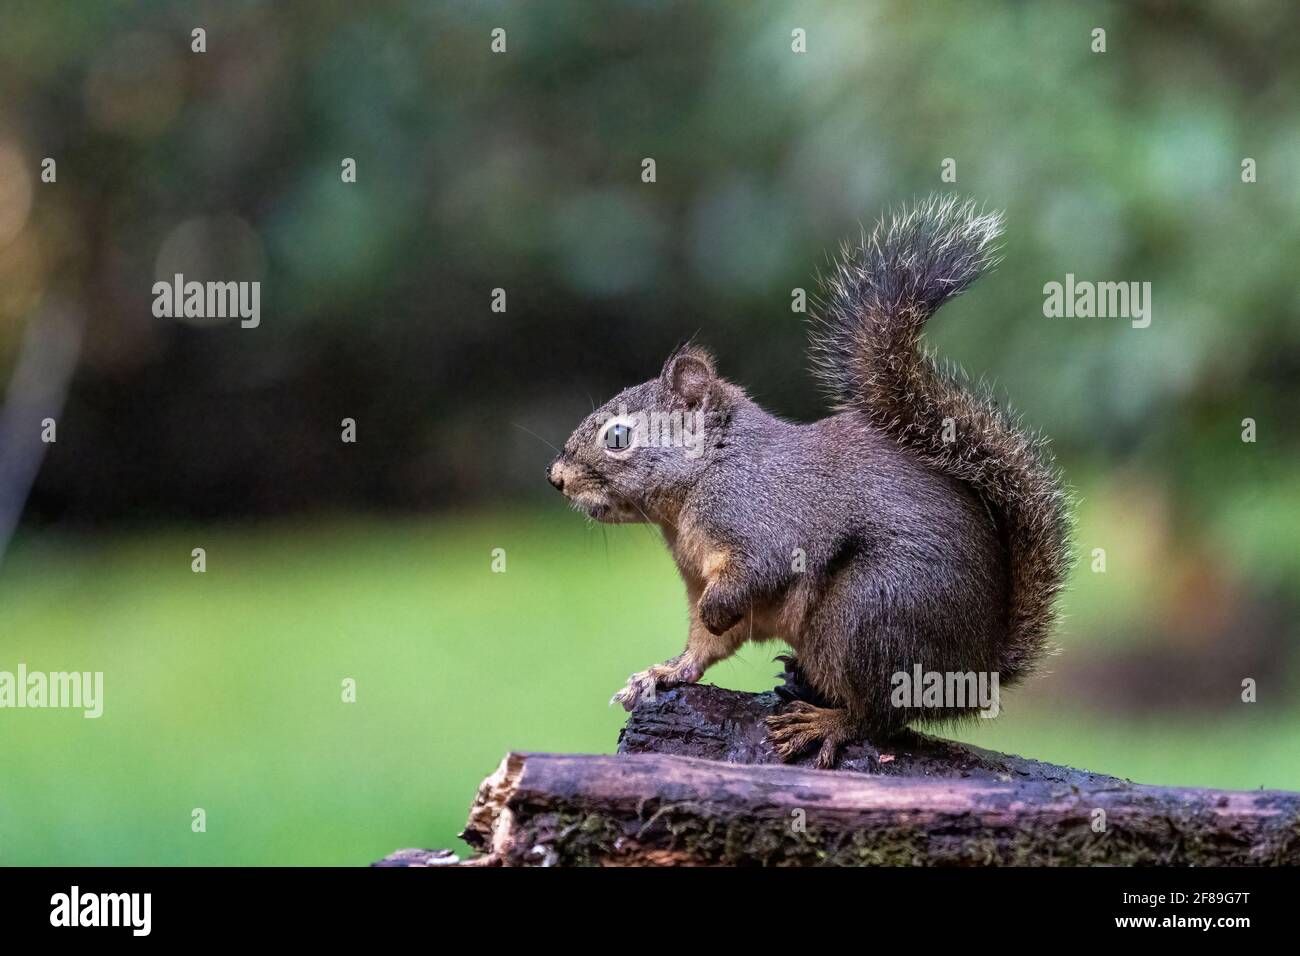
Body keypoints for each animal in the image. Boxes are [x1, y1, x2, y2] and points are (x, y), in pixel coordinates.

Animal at [547, 196, 1071, 768]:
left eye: (618, 437)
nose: (556, 478)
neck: (704, 478)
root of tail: (977, 671)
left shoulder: (762, 519)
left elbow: (751, 578)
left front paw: (707, 620)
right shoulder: (698, 575)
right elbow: (706, 645)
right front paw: (664, 671)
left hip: (866, 613)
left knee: (880, 715)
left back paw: (826, 722)